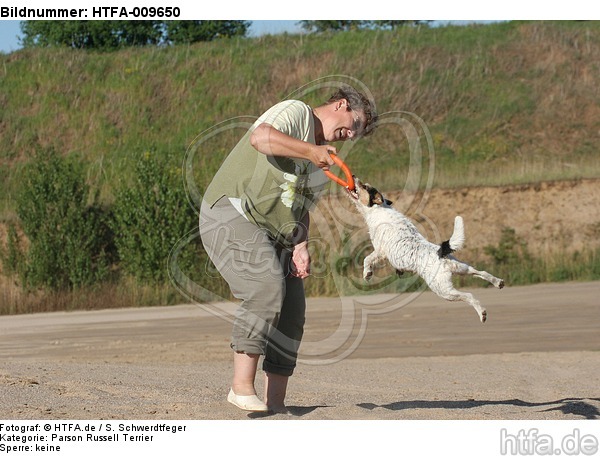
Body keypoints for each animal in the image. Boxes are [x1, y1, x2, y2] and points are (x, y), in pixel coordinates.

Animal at [346, 176, 506, 322]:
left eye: (365, 186)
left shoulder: (380, 251)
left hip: (443, 290)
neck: (378, 209)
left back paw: (482, 313)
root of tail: (441, 253)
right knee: (481, 273)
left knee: (469, 296)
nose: (353, 176)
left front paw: (367, 274)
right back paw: (497, 282)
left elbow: (367, 259)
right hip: (462, 268)